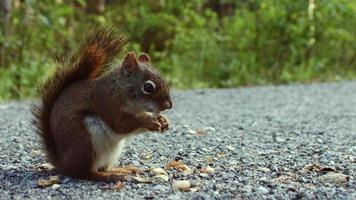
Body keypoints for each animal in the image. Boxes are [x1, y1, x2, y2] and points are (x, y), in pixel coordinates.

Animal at [31, 27, 173, 182]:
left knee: (102, 166)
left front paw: (163, 121)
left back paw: (121, 169)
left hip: (110, 152)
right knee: (84, 173)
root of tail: (62, 164)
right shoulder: (106, 104)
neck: (119, 89)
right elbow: (120, 124)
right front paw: (148, 121)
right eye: (148, 87)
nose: (168, 105)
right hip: (85, 142)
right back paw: (109, 175)